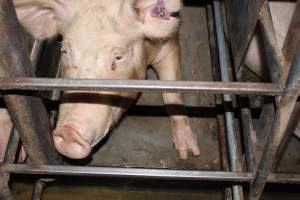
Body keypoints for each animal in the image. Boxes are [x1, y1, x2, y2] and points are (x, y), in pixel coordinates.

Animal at [13, 0, 202, 159]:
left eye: (118, 57)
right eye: (65, 52)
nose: (68, 132)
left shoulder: (169, 44)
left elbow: (173, 94)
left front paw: (188, 153)